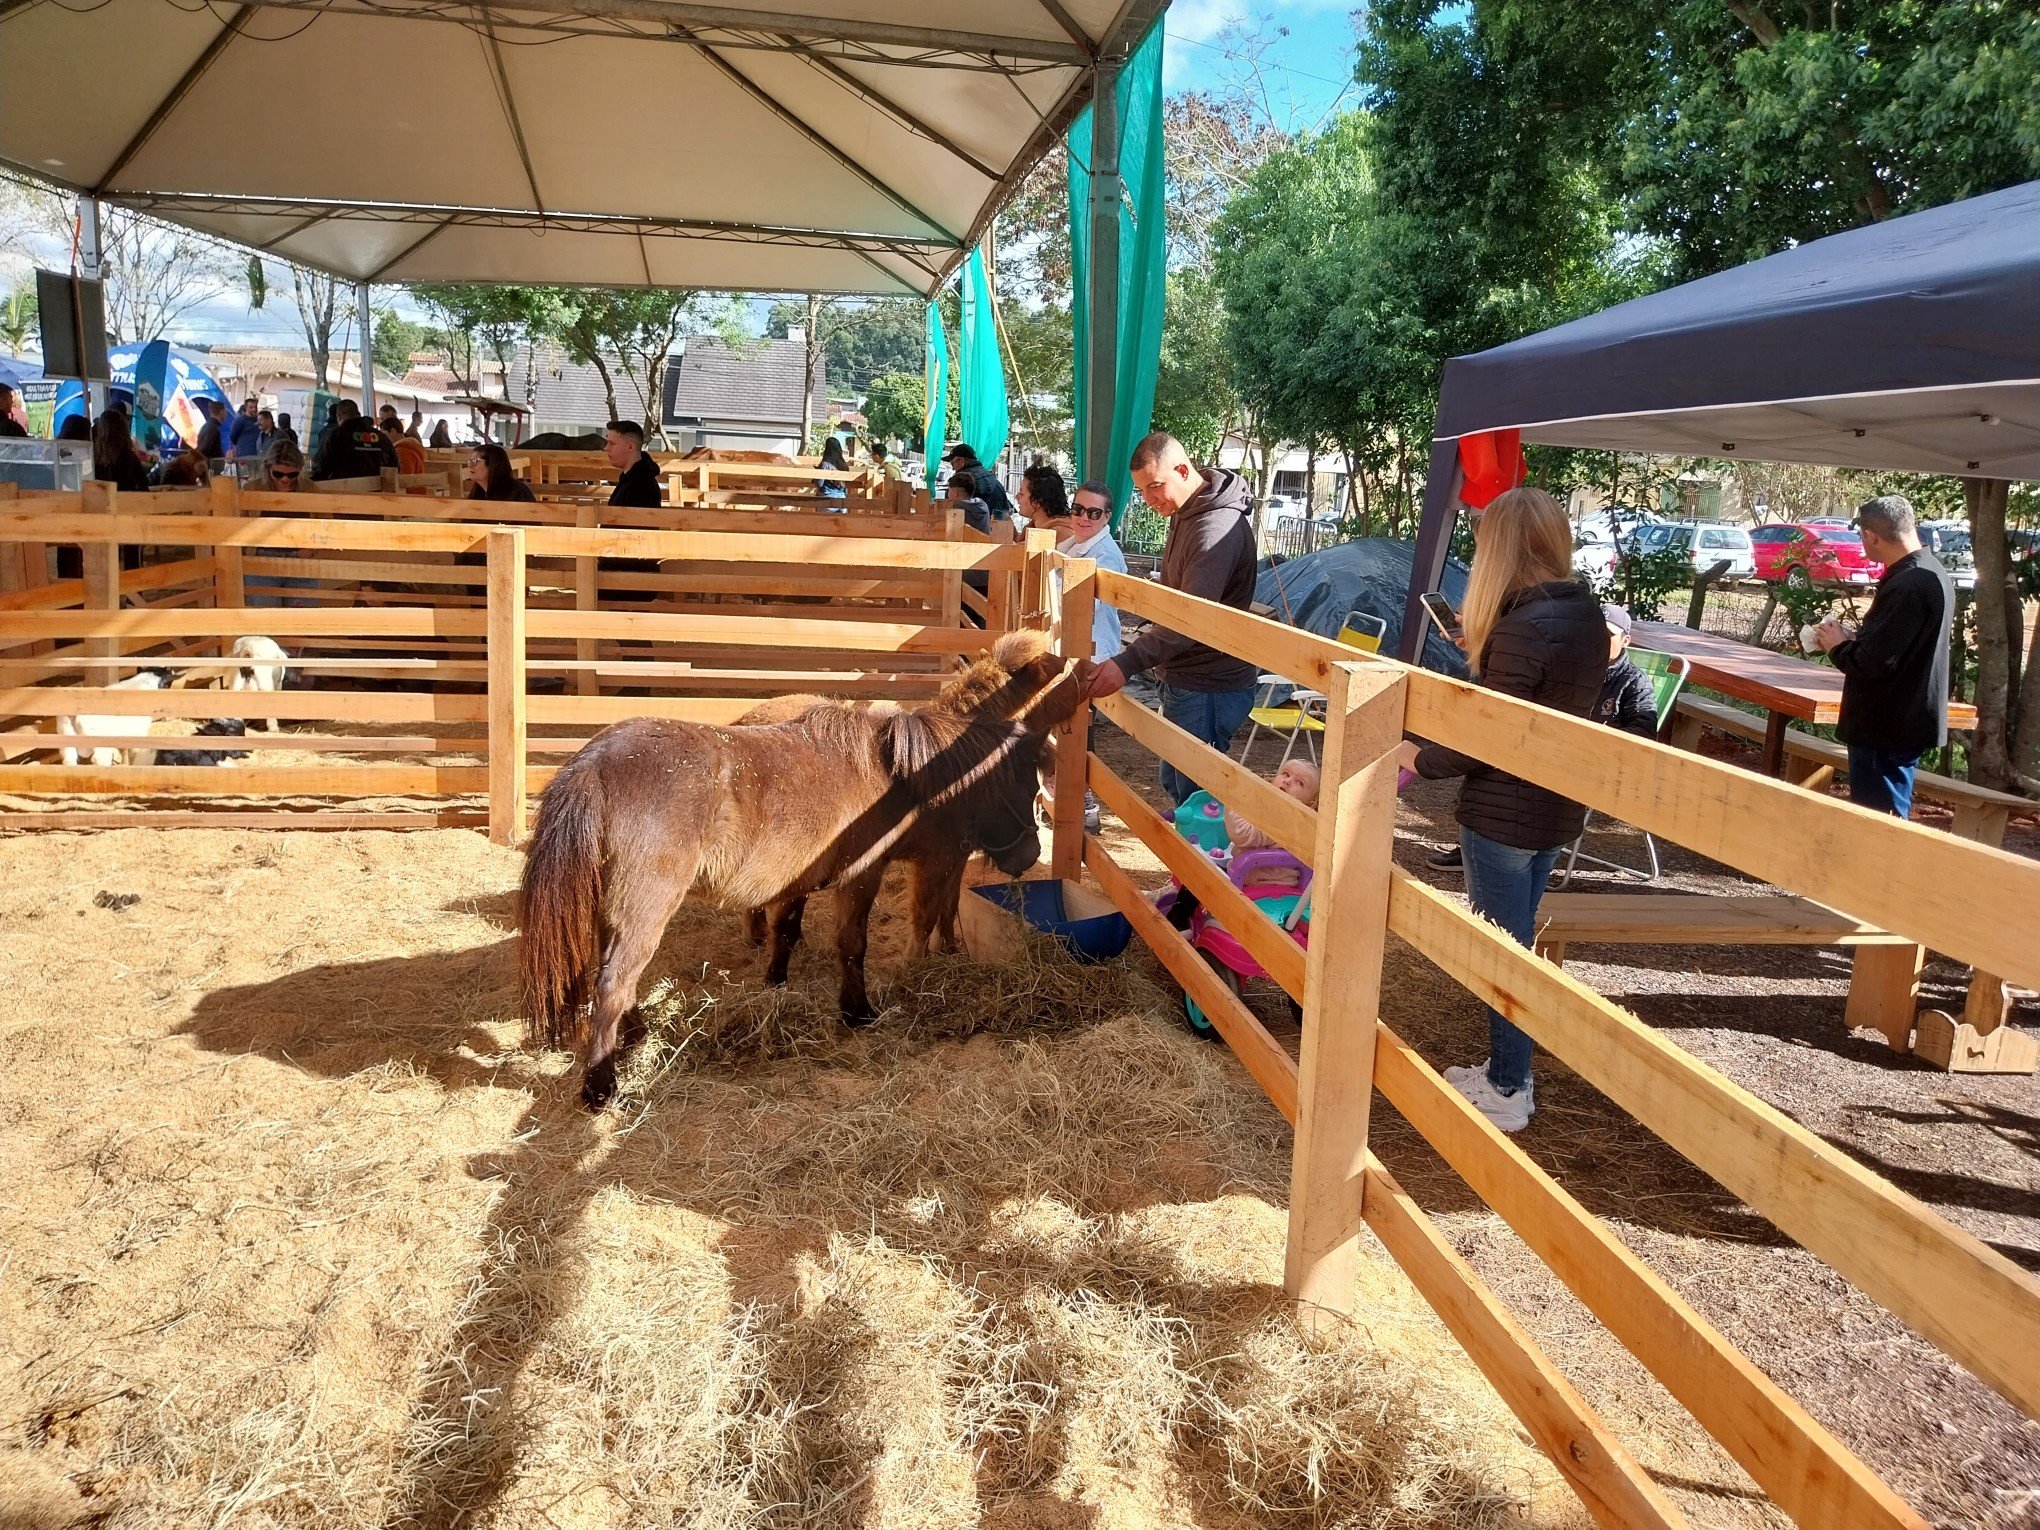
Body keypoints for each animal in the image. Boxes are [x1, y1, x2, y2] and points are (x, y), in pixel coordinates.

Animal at [518, 640, 1085, 1109]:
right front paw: (857, 1012)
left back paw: (632, 1035)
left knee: (613, 975)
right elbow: (853, 943)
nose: (1028, 855)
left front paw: (777, 982)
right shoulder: (863, 876)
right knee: (614, 982)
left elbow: (788, 931)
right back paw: (600, 1085)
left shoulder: (803, 881)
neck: (896, 771)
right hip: (644, 909)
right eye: (1021, 787)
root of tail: (592, 765)